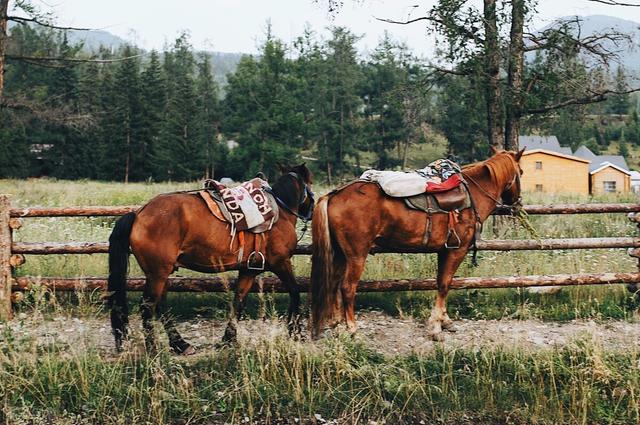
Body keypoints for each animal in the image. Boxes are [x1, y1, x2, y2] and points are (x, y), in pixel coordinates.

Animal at [107, 164, 316, 352]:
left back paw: (180, 344)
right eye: (310, 183)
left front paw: (229, 339)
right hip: (157, 273)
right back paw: (153, 349)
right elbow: (295, 292)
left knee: (160, 306)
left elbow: (238, 302)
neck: (281, 212)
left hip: (160, 273)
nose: (311, 211)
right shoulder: (281, 263)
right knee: (148, 307)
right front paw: (296, 331)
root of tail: (138, 214)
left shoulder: (248, 270)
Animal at [310, 151, 524, 340]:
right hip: (356, 255)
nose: (518, 203)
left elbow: (442, 282)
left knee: (334, 284)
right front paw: (436, 327)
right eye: (521, 172)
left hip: (340, 254)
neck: (472, 196)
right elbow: (445, 284)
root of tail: (334, 195)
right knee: (347, 288)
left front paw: (445, 321)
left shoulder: (444, 250)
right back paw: (353, 329)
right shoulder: (458, 250)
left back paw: (337, 324)